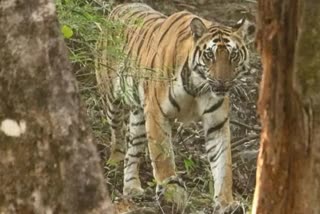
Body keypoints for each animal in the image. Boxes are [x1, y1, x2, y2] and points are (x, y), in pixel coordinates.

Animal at [95, 2, 252, 210]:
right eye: (209, 55)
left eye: (233, 56)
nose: (222, 83)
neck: (197, 87)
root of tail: (120, 6)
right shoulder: (156, 113)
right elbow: (163, 157)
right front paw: (172, 190)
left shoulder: (216, 124)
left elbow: (223, 164)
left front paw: (226, 203)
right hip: (111, 98)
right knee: (118, 133)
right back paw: (115, 160)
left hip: (138, 117)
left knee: (133, 150)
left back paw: (132, 188)